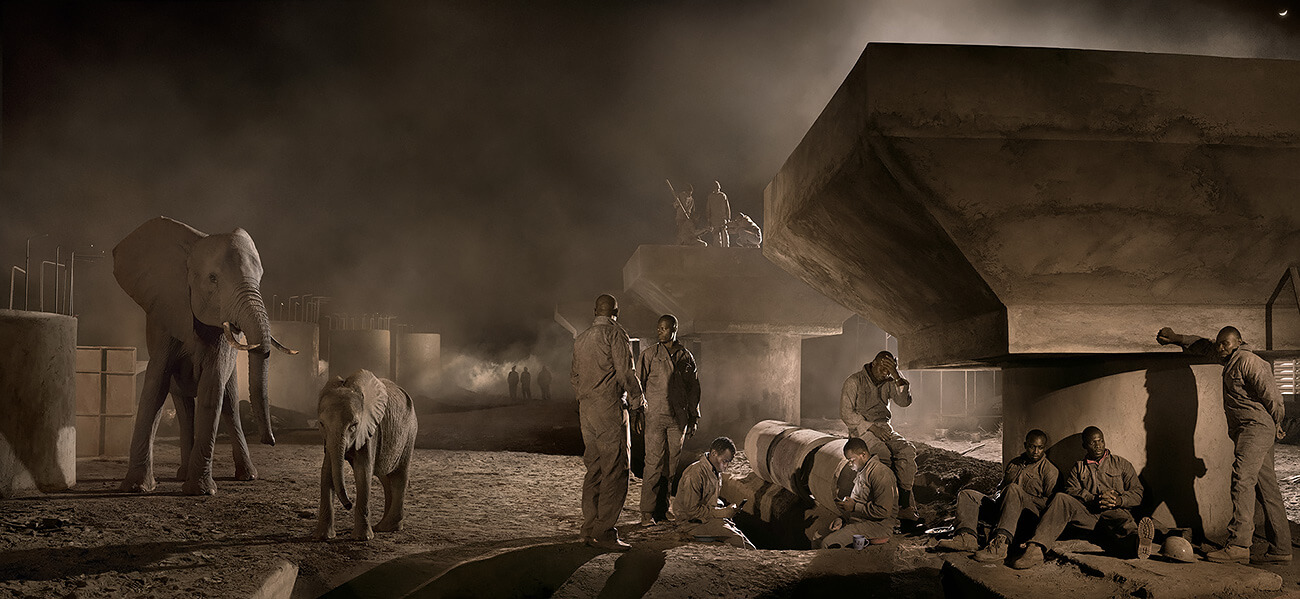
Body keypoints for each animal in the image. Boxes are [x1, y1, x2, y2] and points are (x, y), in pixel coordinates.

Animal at [115, 216, 296, 493]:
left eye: (260, 278)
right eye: (212, 278)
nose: (271, 440)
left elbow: (212, 387)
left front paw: (199, 491)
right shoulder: (166, 319)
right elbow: (155, 387)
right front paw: (136, 488)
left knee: (230, 405)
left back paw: (246, 476)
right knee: (183, 405)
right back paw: (182, 474)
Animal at [313, 366, 418, 540]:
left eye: (354, 425)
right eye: (321, 424)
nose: (348, 504)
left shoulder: (370, 428)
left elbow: (363, 471)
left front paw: (362, 538)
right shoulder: (327, 440)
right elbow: (327, 471)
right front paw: (324, 537)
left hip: (409, 432)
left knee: (399, 476)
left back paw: (388, 528)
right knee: (385, 477)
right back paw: (380, 527)